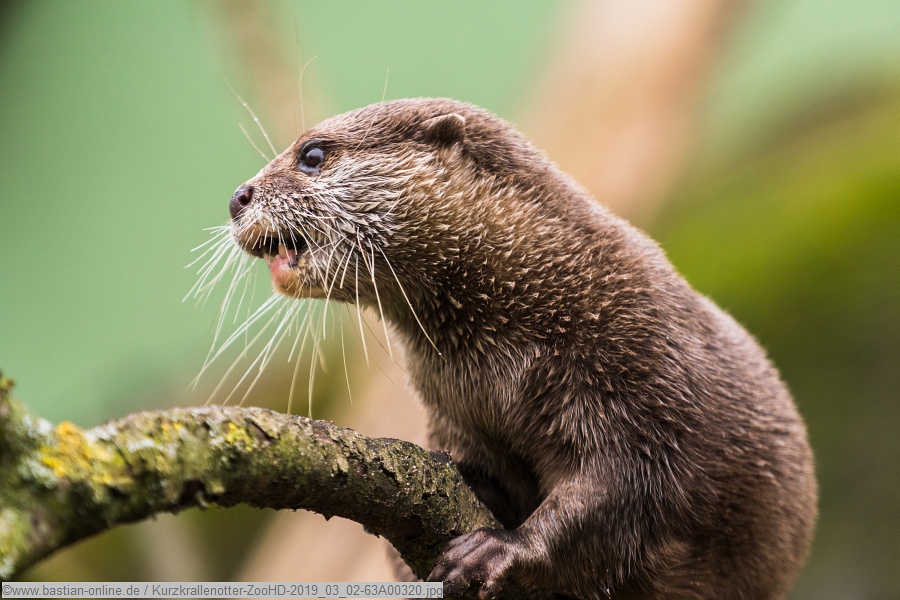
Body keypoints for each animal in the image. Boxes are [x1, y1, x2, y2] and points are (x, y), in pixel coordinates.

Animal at [225, 98, 816, 599]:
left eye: (313, 154)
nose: (236, 198)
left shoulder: (646, 382)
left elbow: (624, 495)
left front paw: (501, 549)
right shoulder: (456, 410)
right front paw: (470, 485)